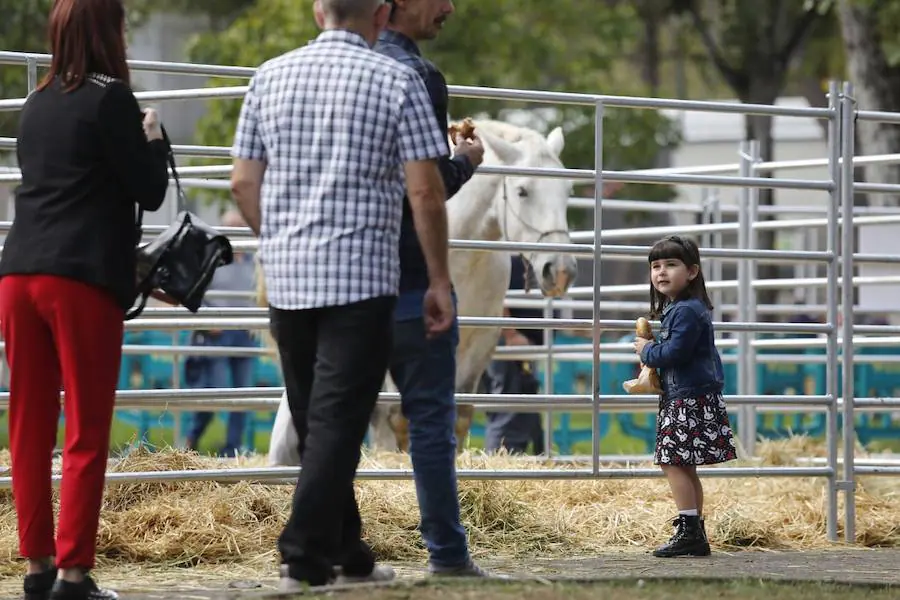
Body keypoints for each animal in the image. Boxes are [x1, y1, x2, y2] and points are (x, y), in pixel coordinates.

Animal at [268, 118, 576, 464]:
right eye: (523, 191)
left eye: (567, 191)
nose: (560, 269)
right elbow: (394, 417)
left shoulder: (479, 343)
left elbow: (459, 415)